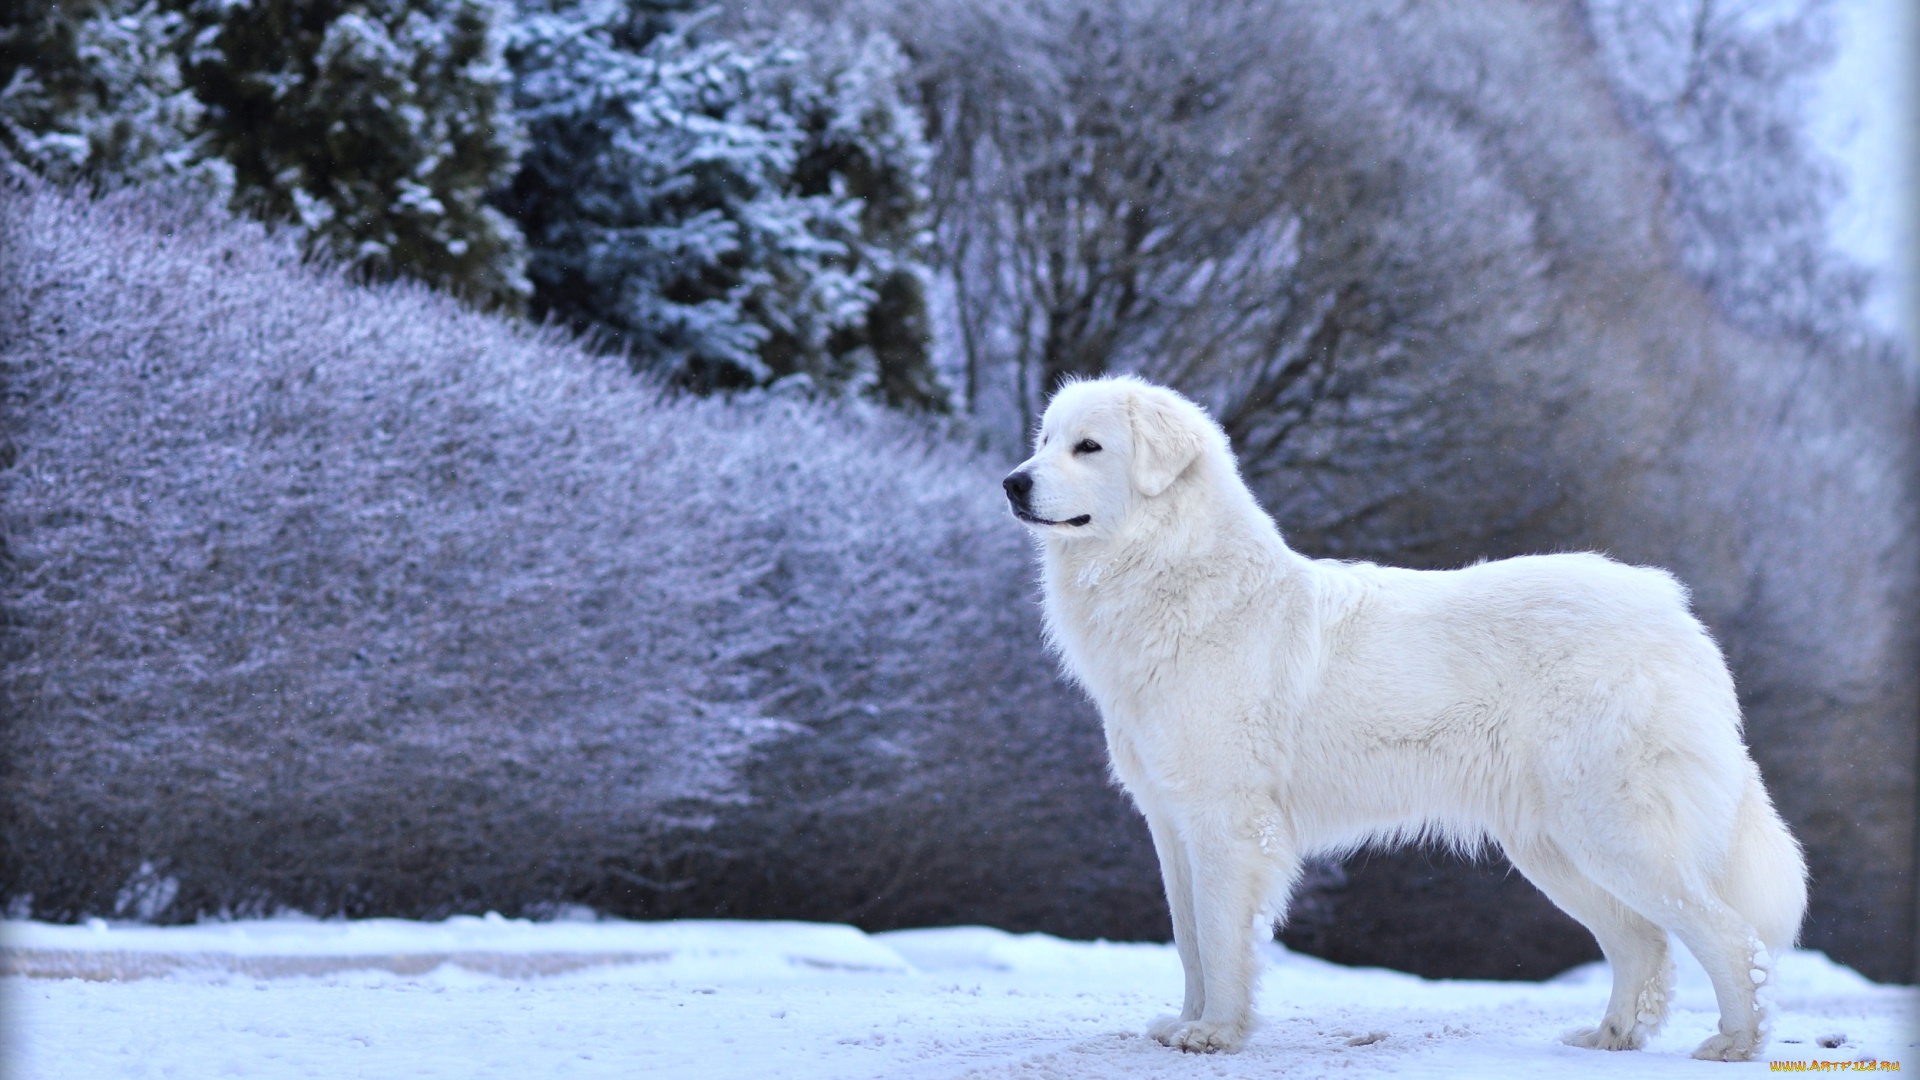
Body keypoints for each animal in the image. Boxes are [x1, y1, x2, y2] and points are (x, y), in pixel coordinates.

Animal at [1013, 376, 1804, 1060]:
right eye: (1045, 438)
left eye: (1089, 446)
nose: (1012, 482)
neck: (1175, 577)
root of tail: (1673, 612)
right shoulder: (1172, 822)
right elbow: (1187, 941)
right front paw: (1185, 1023)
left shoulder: (1227, 824)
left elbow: (1218, 936)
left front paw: (1215, 1033)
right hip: (1556, 848)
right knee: (1644, 943)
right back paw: (1609, 1038)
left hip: (1613, 833)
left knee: (1731, 938)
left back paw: (1736, 1043)